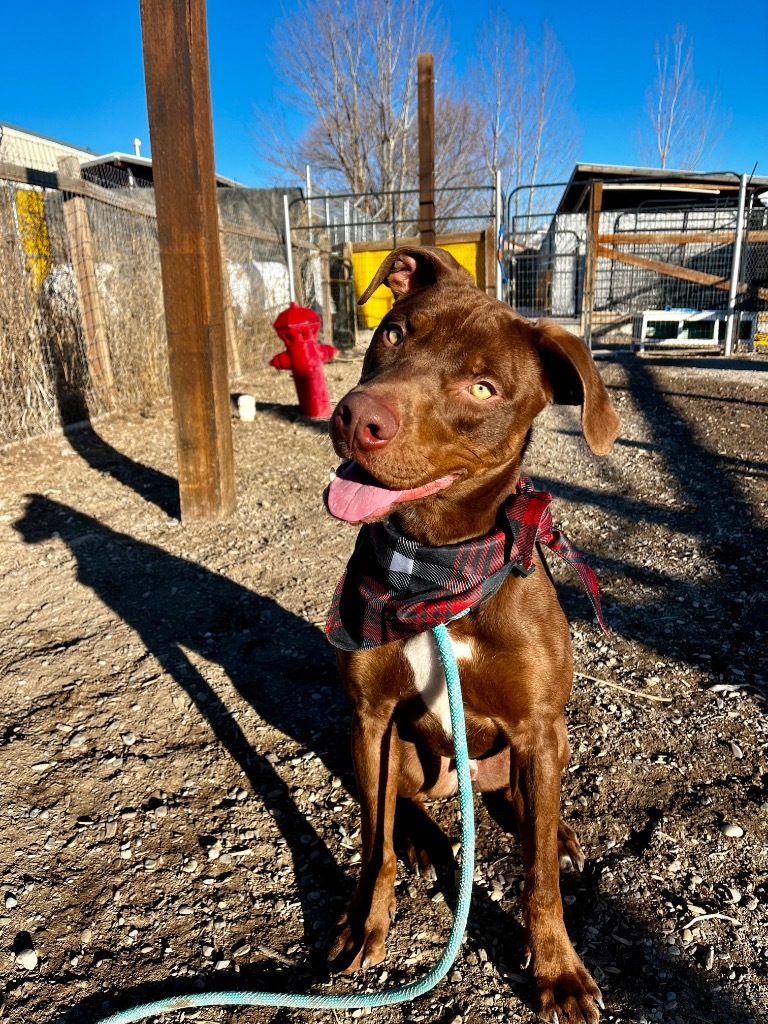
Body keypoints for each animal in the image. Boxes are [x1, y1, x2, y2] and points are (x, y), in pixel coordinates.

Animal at [321, 243, 622, 1019]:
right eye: (394, 332)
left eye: (483, 388)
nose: (357, 417)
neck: (437, 567)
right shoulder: (370, 715)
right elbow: (373, 843)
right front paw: (363, 922)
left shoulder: (536, 728)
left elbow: (539, 878)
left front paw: (557, 971)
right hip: (401, 752)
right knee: (399, 804)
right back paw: (429, 840)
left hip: (551, 742)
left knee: (525, 812)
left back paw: (558, 830)